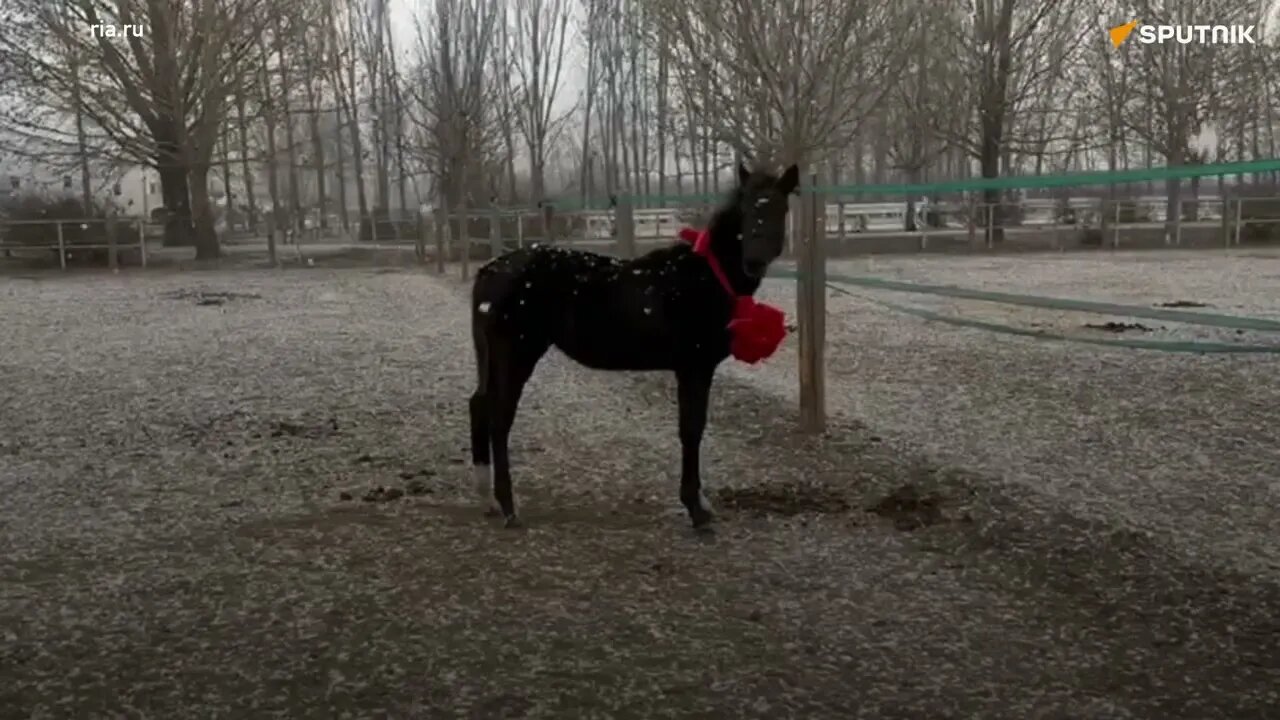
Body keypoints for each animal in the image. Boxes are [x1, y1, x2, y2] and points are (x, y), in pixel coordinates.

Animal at [465, 161, 793, 527]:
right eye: (747, 209)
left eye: (780, 208)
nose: (754, 261)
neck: (704, 277)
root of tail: (490, 271)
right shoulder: (694, 367)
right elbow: (691, 430)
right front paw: (695, 509)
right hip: (516, 354)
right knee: (499, 417)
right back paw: (508, 506)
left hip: (495, 357)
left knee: (479, 405)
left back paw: (487, 499)